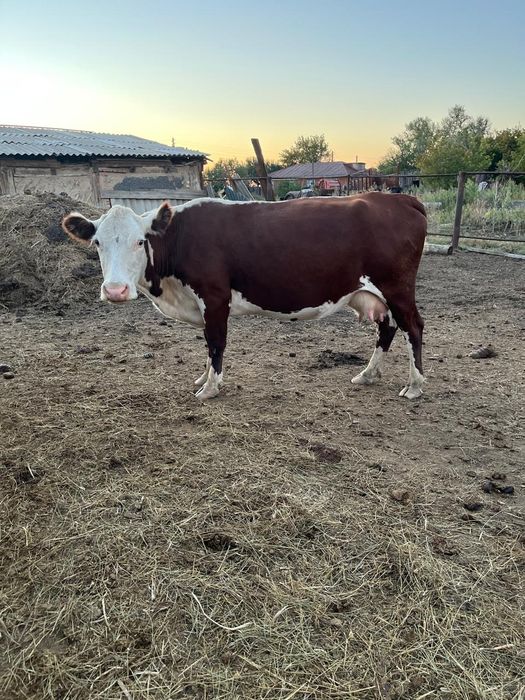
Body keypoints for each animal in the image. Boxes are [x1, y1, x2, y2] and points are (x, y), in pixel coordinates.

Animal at [62, 192, 427, 401]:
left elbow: (216, 342)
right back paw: (368, 374)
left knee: (413, 327)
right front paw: (204, 376)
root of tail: (399, 199)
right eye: (97, 243)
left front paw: (210, 388)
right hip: (374, 293)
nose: (115, 290)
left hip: (396, 287)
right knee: (387, 327)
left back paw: (415, 385)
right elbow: (207, 343)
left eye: (140, 241)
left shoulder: (214, 296)